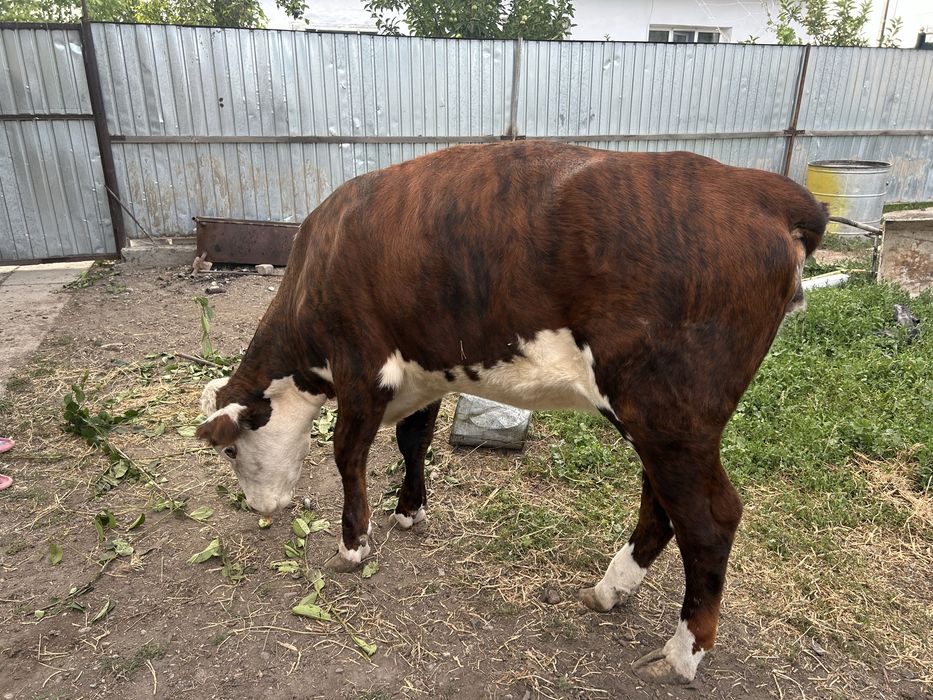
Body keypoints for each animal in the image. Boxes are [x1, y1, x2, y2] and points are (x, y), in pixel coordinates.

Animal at [196, 140, 826, 684]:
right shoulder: (426, 368)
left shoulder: (362, 367)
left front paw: (354, 545)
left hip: (669, 412)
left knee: (709, 520)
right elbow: (414, 439)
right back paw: (609, 590)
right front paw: (410, 511)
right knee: (662, 505)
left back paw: (680, 654)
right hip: (656, 419)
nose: (261, 509)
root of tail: (763, 190)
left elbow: (348, 455)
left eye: (229, 451)